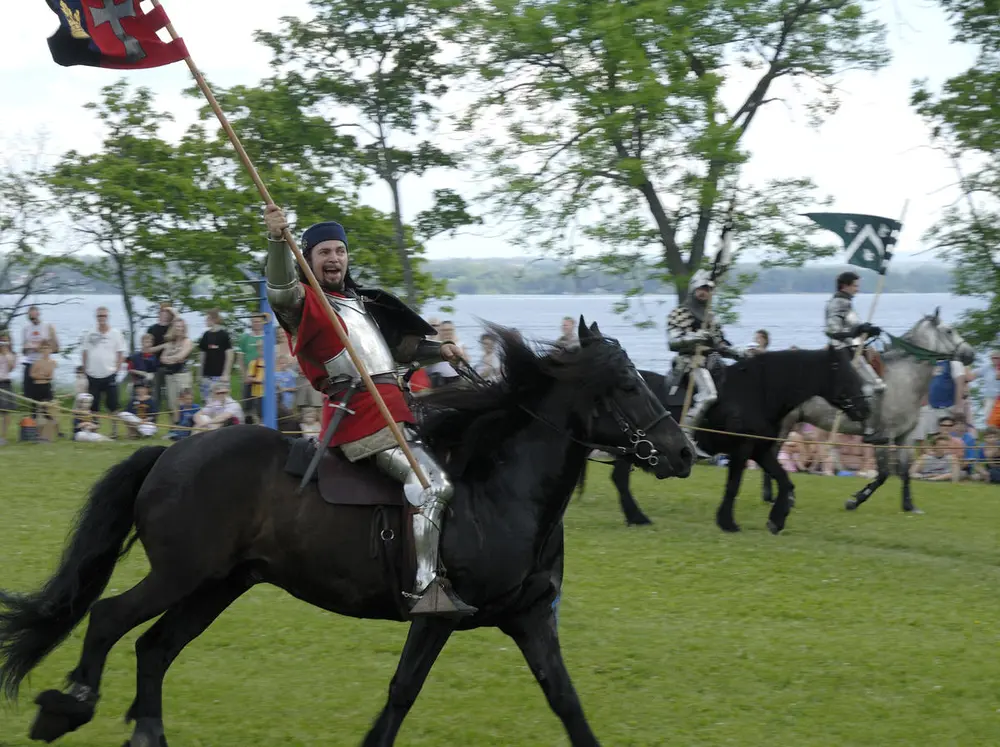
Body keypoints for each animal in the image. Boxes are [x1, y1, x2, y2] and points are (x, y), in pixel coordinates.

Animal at [0, 320, 696, 747]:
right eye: (628, 384)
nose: (685, 451)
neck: (497, 489)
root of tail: (171, 452)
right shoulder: (440, 616)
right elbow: (403, 691)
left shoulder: (527, 618)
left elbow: (566, 700)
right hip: (181, 574)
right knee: (109, 619)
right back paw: (71, 705)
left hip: (221, 584)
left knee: (154, 648)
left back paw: (147, 731)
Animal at [604, 348, 872, 536]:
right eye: (847, 373)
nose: (866, 409)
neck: (758, 392)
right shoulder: (742, 450)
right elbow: (734, 485)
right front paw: (727, 522)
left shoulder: (760, 451)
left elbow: (785, 481)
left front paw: (776, 520)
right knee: (620, 479)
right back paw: (637, 516)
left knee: (619, 479)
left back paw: (635, 516)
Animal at [760, 310, 972, 516]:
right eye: (949, 331)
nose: (970, 354)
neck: (906, 377)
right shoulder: (884, 438)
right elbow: (884, 474)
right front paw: (854, 501)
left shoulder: (905, 437)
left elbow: (904, 472)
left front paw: (909, 506)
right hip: (785, 424)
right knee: (770, 454)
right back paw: (776, 496)